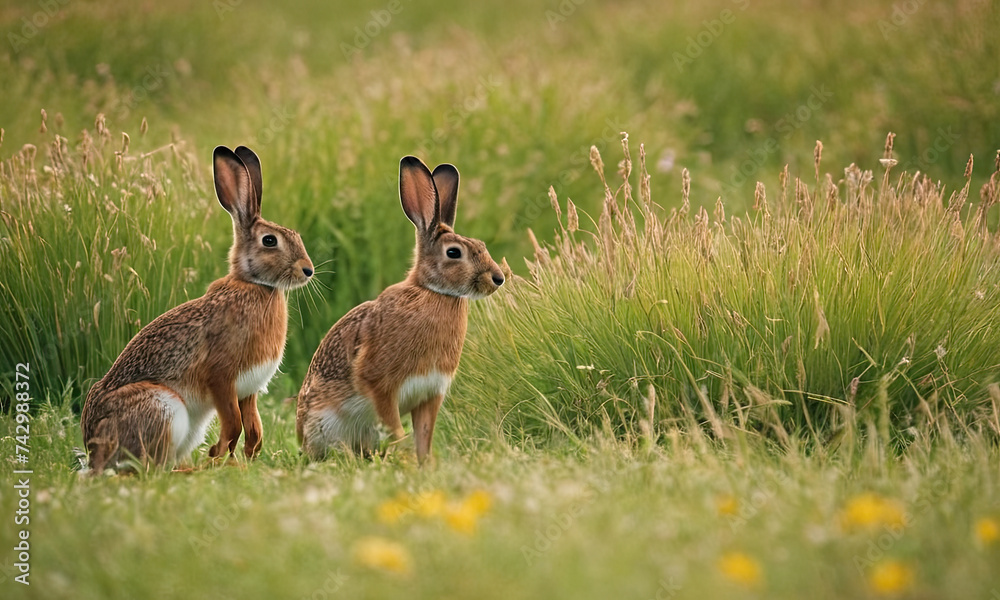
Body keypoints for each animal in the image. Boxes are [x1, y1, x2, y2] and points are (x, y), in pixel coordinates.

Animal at [80, 145, 314, 474]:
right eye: (270, 241)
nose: (308, 270)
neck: (255, 285)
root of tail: (93, 449)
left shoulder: (248, 390)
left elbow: (252, 424)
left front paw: (248, 456)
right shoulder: (220, 377)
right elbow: (233, 423)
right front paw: (221, 456)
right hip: (164, 408)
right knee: (149, 470)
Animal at [296, 155, 505, 463]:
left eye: (481, 245)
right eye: (454, 253)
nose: (498, 278)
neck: (433, 292)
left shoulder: (430, 393)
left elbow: (424, 435)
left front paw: (425, 465)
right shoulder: (380, 385)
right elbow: (395, 428)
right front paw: (406, 457)